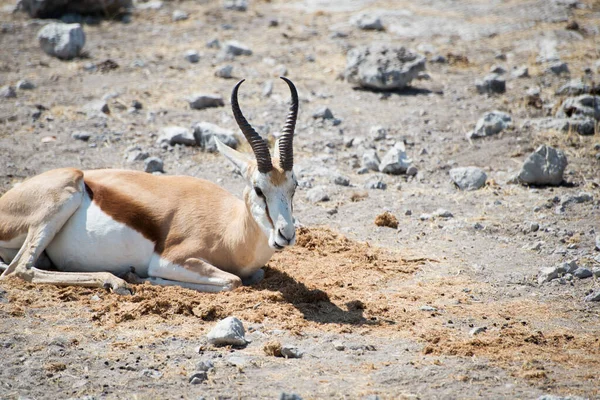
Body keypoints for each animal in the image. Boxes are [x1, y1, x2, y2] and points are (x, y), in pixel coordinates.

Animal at [0, 77, 300, 294]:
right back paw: (117, 280)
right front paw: (141, 277)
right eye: (259, 189)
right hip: (62, 196)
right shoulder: (172, 259)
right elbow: (232, 281)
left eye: (294, 187)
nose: (286, 235)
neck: (229, 229)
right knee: (19, 269)